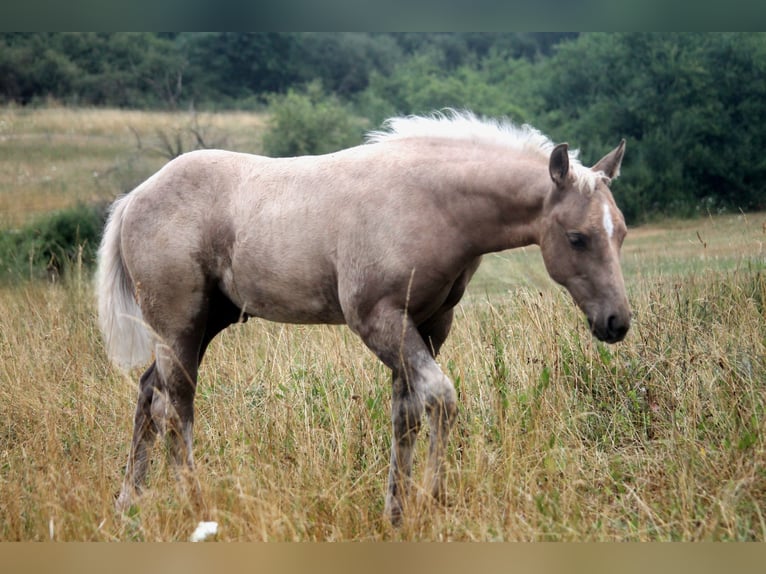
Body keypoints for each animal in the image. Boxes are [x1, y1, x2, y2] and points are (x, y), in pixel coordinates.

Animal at [96, 110, 630, 525]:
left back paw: (128, 503)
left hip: (204, 325)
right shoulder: (378, 320)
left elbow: (406, 415)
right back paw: (196, 507)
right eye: (577, 237)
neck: (431, 201)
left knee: (149, 394)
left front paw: (396, 511)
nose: (617, 322)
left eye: (621, 232)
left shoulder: (428, 326)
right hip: (180, 326)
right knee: (174, 410)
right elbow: (441, 398)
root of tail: (134, 197)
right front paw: (433, 502)